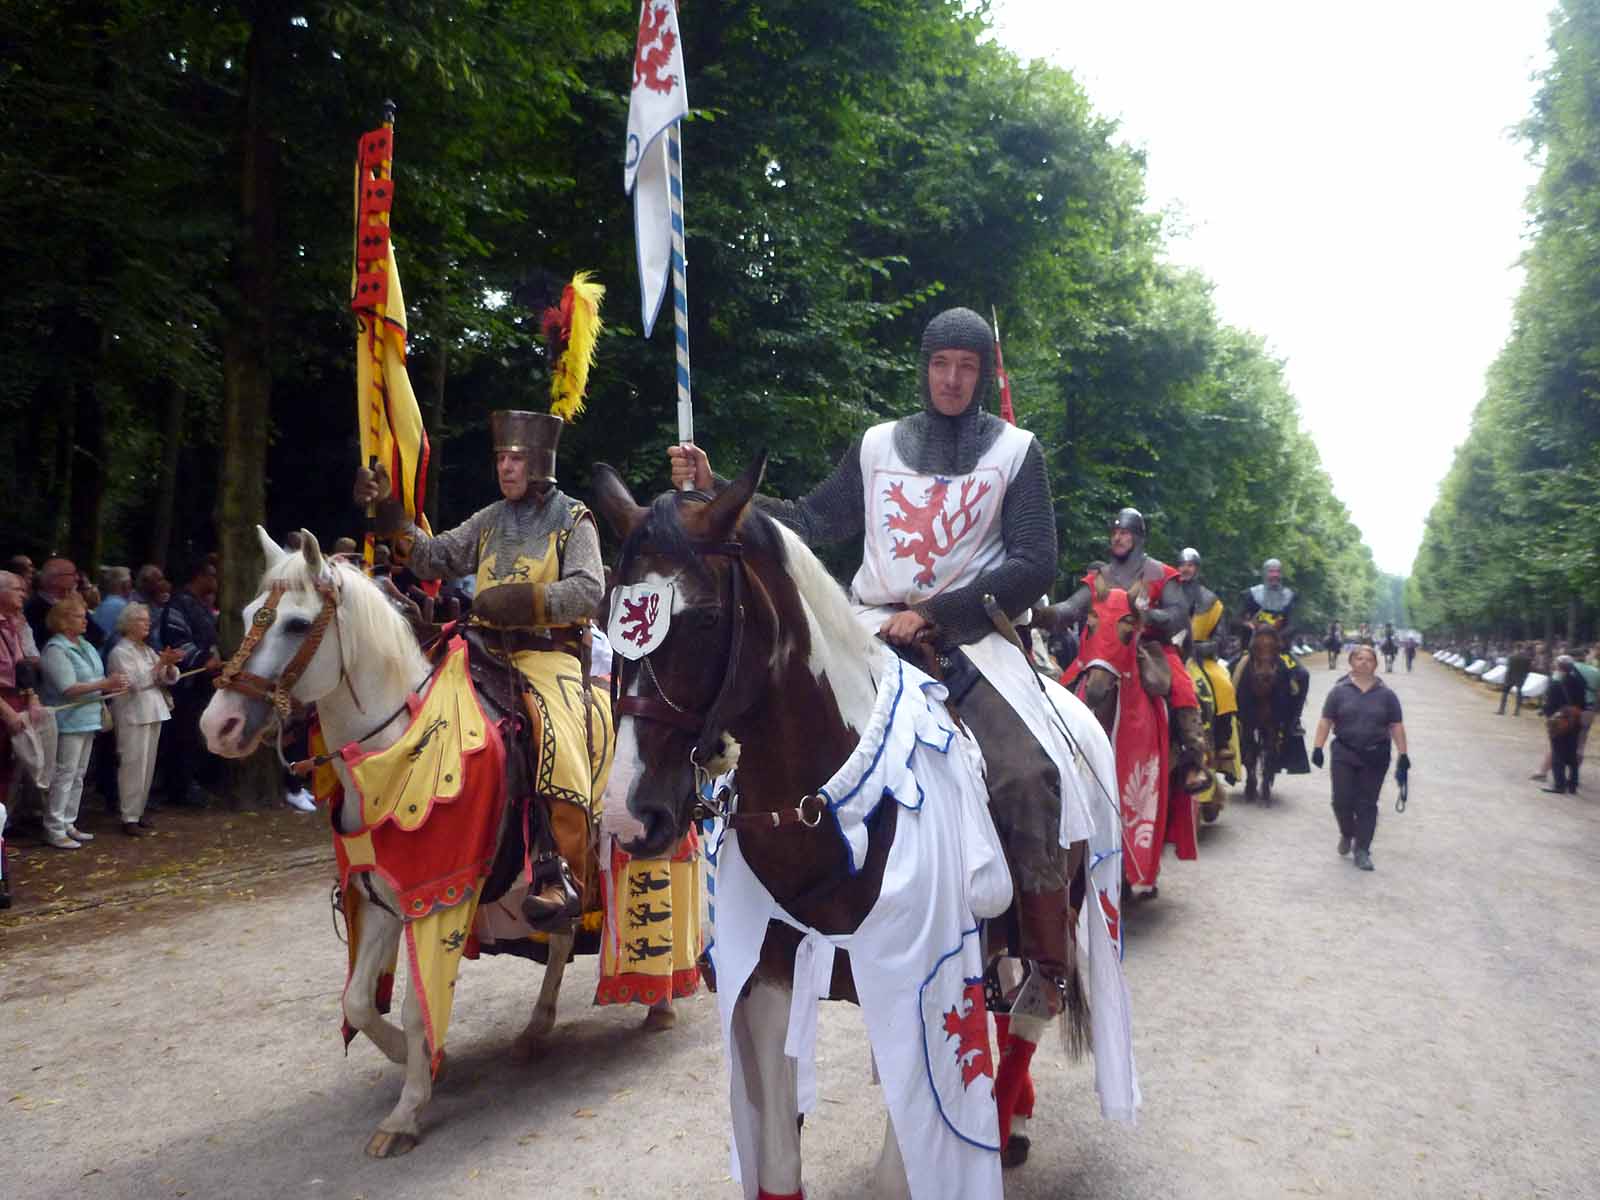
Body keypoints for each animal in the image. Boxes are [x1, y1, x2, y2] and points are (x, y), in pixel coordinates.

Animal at [201, 531, 576, 1158]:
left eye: (297, 624)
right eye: (252, 614)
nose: (218, 725)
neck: (398, 753)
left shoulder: (441, 899)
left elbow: (418, 1005)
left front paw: (407, 1110)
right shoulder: (382, 897)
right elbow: (357, 1001)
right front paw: (410, 1057)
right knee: (563, 934)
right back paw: (537, 1026)